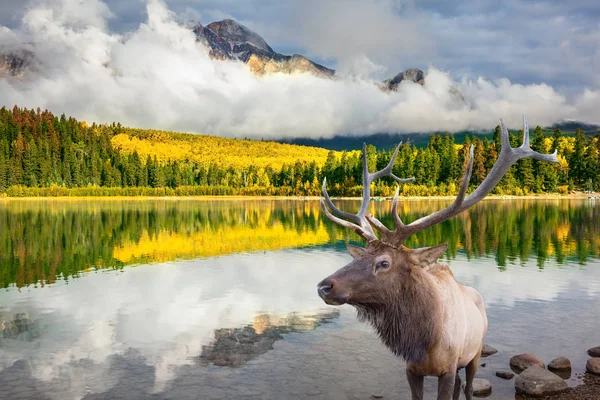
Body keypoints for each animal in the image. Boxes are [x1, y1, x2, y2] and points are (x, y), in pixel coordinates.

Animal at [316, 116, 560, 400]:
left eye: (384, 263)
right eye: (360, 256)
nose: (324, 286)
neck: (425, 343)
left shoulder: (449, 367)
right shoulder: (411, 369)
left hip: (475, 352)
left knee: (467, 387)